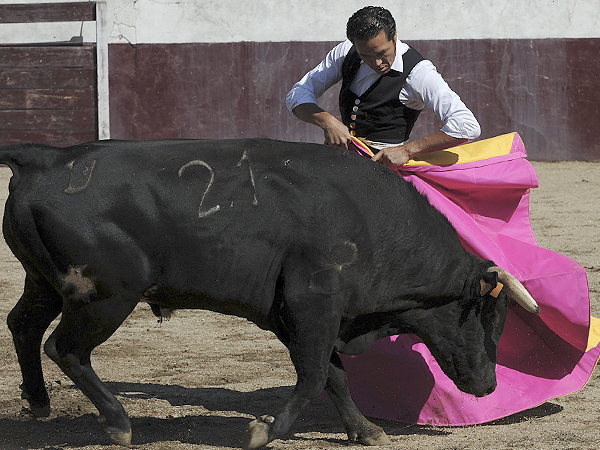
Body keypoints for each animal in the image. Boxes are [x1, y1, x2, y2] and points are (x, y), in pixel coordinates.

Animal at [0, 139, 540, 448]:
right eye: (485, 318)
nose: (489, 386)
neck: (371, 224)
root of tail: (46, 158)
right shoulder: (313, 307)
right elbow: (313, 375)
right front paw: (265, 431)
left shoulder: (298, 316)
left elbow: (333, 376)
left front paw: (366, 430)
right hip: (104, 296)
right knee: (64, 347)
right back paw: (118, 423)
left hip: (44, 283)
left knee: (23, 324)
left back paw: (39, 403)